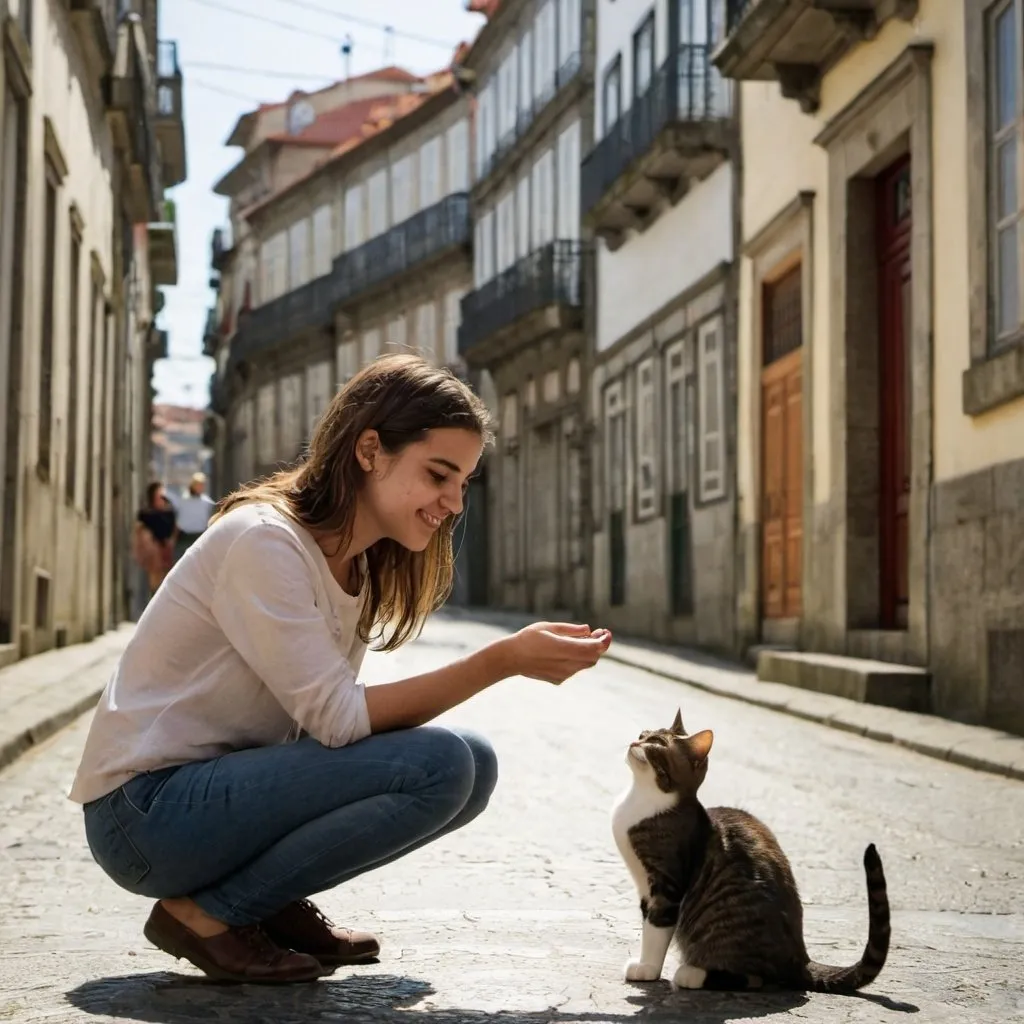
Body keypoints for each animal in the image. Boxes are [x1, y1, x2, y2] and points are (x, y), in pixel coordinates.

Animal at [610, 712, 892, 991]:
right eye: (642, 734)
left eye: (655, 742)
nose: (635, 741)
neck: (644, 801)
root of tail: (801, 957)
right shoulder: (645, 888)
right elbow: (647, 921)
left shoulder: (666, 884)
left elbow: (656, 927)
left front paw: (648, 969)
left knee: (756, 977)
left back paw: (692, 973)